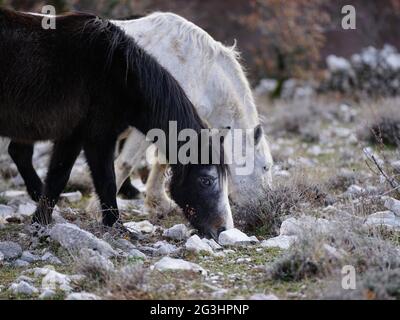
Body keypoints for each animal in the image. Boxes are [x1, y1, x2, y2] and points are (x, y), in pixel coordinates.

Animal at [0, 8, 231, 238]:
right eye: (206, 180)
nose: (222, 229)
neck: (117, 75)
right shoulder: (96, 137)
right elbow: (102, 181)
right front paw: (118, 227)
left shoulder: (75, 136)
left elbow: (63, 178)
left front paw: (41, 222)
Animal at [88, 12, 274, 218]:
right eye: (265, 166)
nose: (266, 206)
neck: (196, 69)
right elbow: (126, 163)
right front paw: (99, 210)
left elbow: (163, 160)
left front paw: (159, 203)